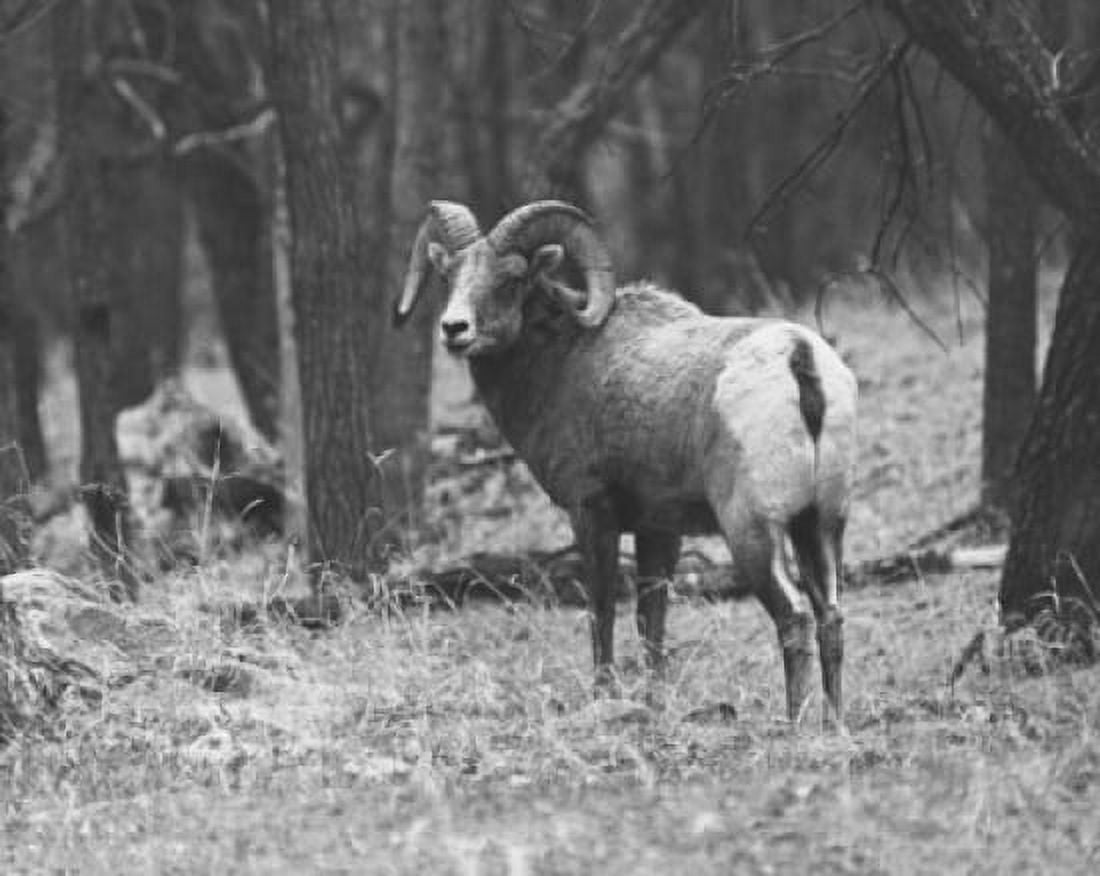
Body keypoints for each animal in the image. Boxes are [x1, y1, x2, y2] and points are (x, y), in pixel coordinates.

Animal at [394, 199, 858, 725]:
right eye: (448, 274)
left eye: (511, 278)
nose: (455, 329)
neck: (562, 362)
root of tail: (798, 359)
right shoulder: (659, 530)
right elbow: (650, 619)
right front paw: (653, 702)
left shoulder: (593, 514)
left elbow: (603, 610)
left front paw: (604, 694)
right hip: (819, 526)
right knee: (830, 617)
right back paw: (835, 725)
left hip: (753, 532)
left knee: (794, 615)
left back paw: (795, 724)